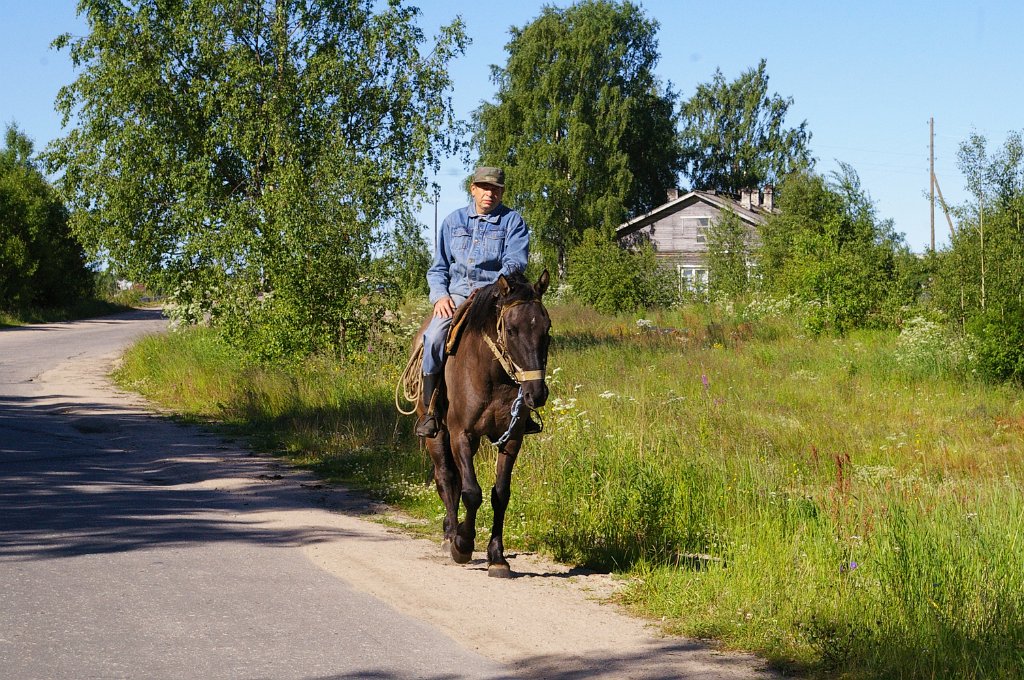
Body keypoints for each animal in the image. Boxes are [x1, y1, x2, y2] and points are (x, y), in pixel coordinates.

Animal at [413, 268, 548, 577]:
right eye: (511, 330)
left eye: (546, 329)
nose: (536, 393)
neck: (493, 375)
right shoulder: (461, 434)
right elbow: (472, 492)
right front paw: (462, 544)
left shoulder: (512, 439)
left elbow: (501, 494)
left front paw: (497, 556)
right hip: (437, 436)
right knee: (446, 477)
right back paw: (450, 534)